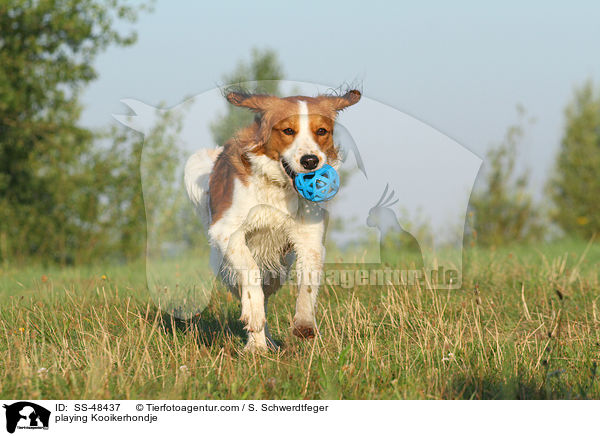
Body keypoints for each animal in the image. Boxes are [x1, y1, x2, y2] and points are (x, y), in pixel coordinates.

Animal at [183, 87, 360, 350]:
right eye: (288, 131)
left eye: (321, 131)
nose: (310, 161)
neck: (279, 188)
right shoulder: (226, 231)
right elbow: (250, 270)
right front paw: (253, 315)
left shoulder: (310, 239)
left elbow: (308, 284)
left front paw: (304, 323)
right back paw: (256, 345)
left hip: (279, 269)